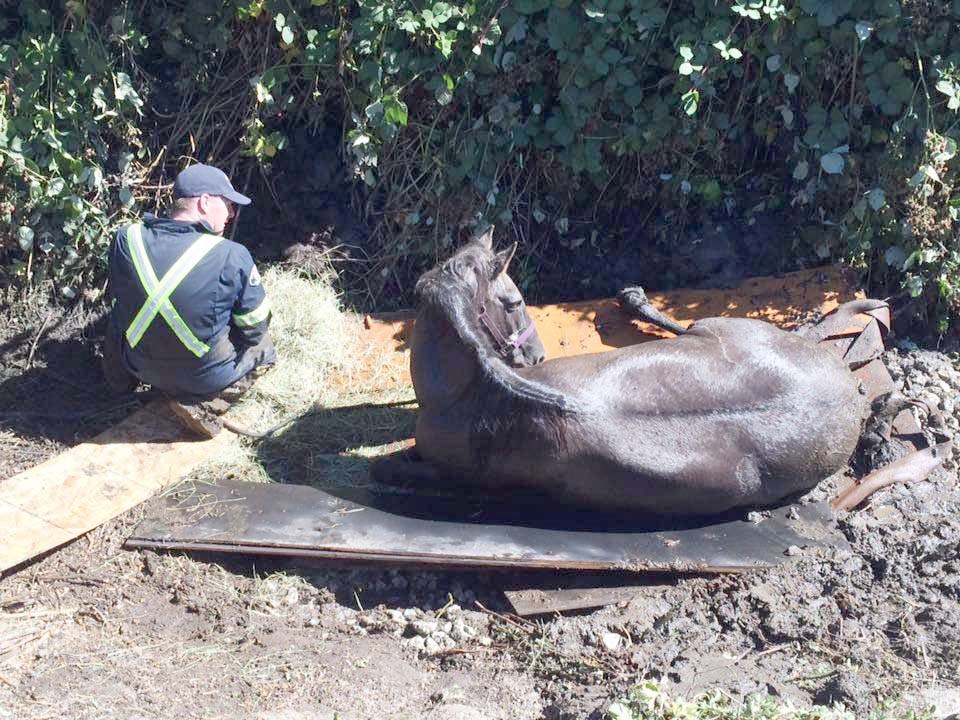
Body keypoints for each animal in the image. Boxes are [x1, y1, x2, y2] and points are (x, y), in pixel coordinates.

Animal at [378, 228, 888, 516]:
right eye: (515, 301)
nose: (537, 357)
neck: (475, 394)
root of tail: (848, 392)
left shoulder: (442, 470)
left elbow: (390, 468)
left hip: (710, 325)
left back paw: (632, 298)